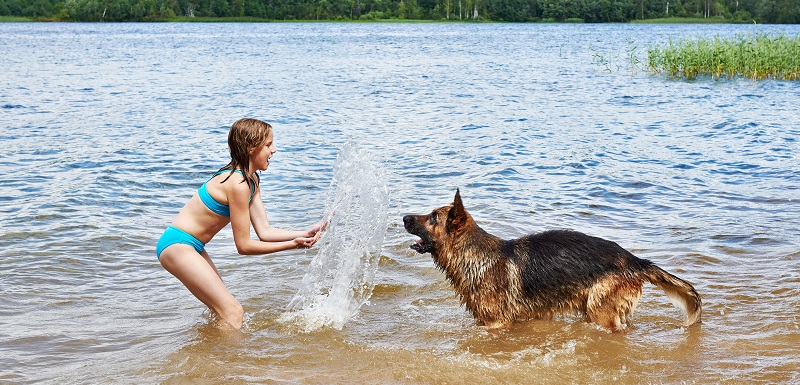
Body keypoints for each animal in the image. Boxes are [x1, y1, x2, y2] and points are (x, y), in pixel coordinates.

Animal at [404, 189, 696, 330]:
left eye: (433, 217)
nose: (404, 217)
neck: (474, 255)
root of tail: (633, 259)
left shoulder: (496, 325)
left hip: (601, 313)